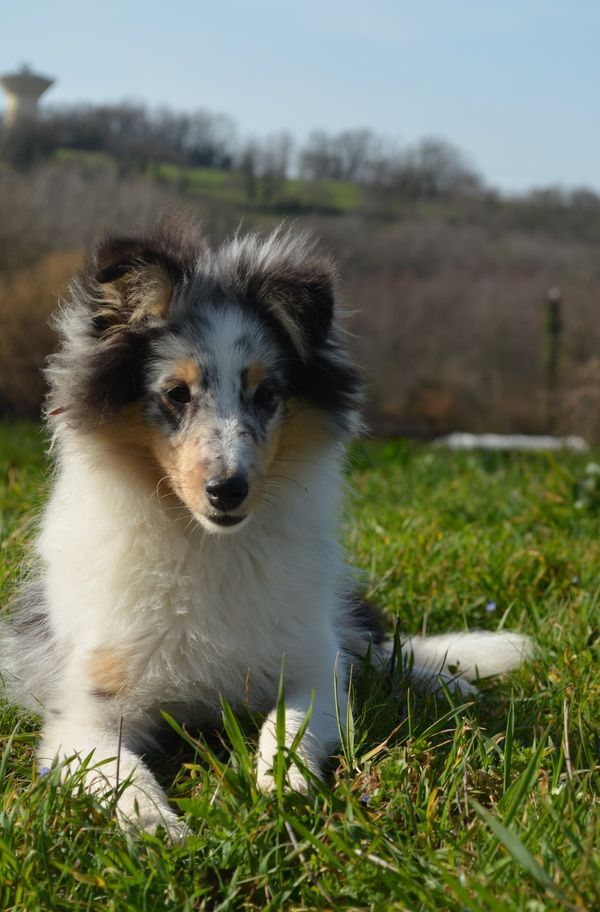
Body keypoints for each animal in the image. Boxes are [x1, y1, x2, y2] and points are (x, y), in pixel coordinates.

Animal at [0, 221, 528, 840]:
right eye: (176, 394)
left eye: (267, 394)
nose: (228, 491)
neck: (208, 544)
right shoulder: (84, 715)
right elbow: (119, 772)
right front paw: (157, 827)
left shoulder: (311, 667)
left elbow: (293, 720)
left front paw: (282, 782)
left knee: (371, 651)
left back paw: (447, 682)